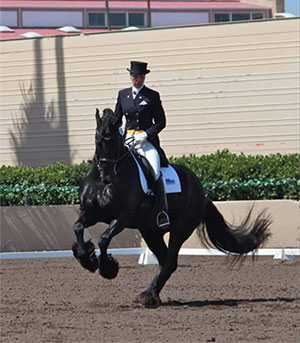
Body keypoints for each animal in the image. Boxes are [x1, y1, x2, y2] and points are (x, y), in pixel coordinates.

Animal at [72, 108, 272, 310]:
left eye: (115, 140)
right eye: (98, 139)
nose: (106, 177)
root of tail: (201, 192)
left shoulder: (123, 217)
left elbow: (104, 239)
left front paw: (108, 269)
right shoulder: (90, 213)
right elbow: (78, 227)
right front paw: (87, 258)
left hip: (180, 229)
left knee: (170, 262)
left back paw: (148, 296)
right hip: (150, 231)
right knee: (163, 260)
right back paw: (152, 296)